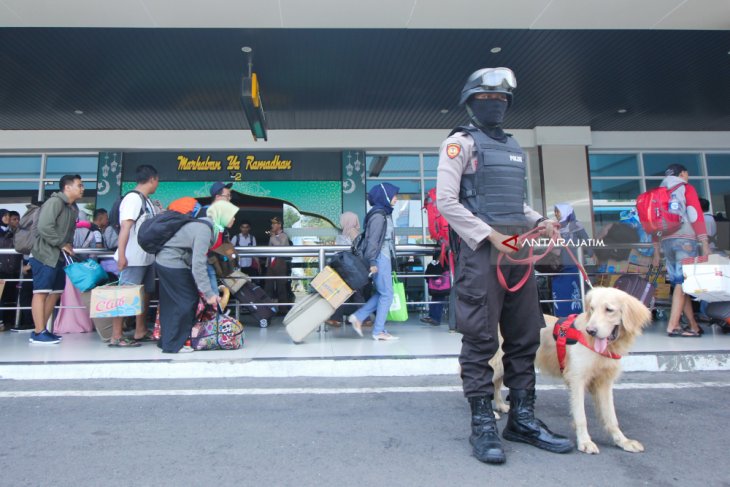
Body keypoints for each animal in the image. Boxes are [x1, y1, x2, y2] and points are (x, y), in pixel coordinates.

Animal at [492, 288, 652, 456]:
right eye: (592, 308)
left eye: (609, 310)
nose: (591, 331)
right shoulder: (577, 380)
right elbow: (581, 416)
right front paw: (585, 442)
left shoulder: (604, 383)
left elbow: (611, 417)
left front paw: (623, 441)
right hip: (496, 364)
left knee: (496, 386)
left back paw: (500, 405)